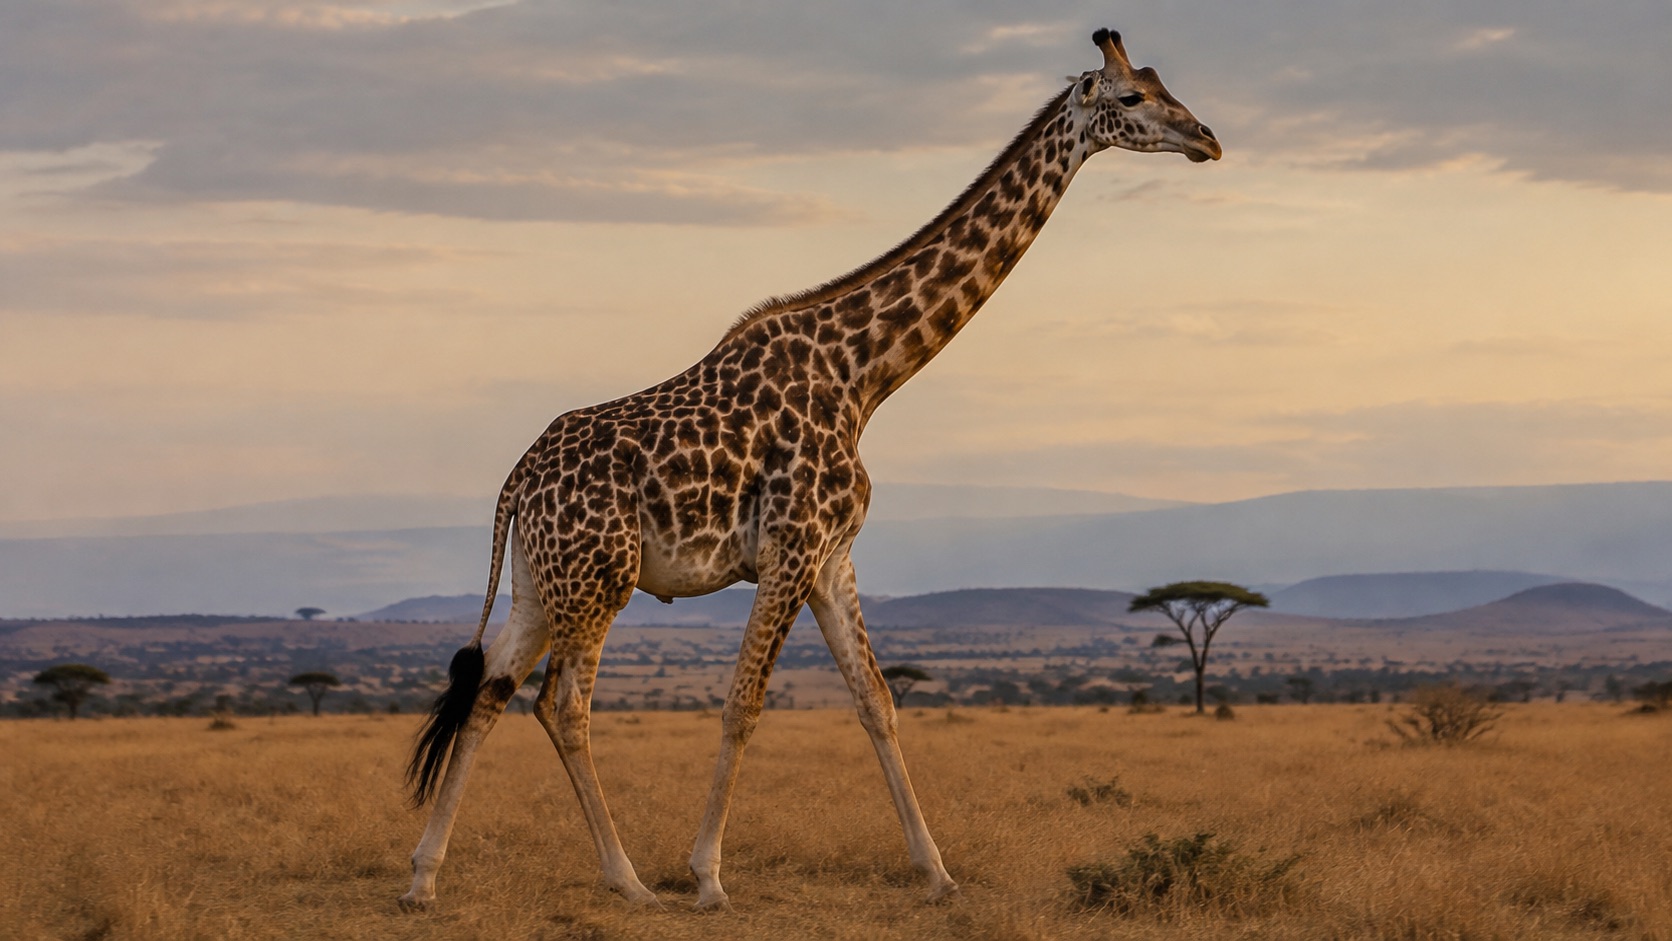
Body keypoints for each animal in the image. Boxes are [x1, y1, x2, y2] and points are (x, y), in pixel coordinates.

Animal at [400, 27, 1220, 912]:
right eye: (1132, 97)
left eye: (1163, 83)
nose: (1207, 139)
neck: (865, 374)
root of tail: (516, 480)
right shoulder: (790, 549)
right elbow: (743, 704)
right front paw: (709, 876)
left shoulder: (833, 558)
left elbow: (878, 701)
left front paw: (937, 872)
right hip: (598, 578)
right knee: (564, 705)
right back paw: (627, 880)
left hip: (538, 583)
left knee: (489, 690)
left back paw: (424, 877)